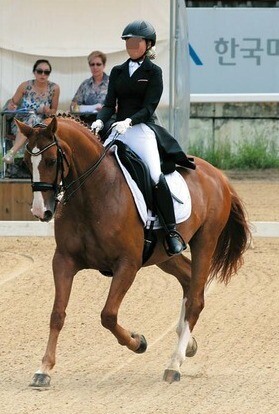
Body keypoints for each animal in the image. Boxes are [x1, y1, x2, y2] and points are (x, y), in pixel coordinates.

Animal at [16, 116, 253, 388]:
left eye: (51, 160)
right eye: (25, 162)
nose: (40, 211)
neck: (94, 192)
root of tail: (218, 174)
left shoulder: (127, 264)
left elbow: (108, 315)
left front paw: (138, 342)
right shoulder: (64, 260)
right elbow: (57, 314)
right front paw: (43, 369)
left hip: (205, 241)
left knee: (195, 298)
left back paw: (174, 364)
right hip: (165, 255)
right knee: (188, 279)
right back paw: (187, 344)